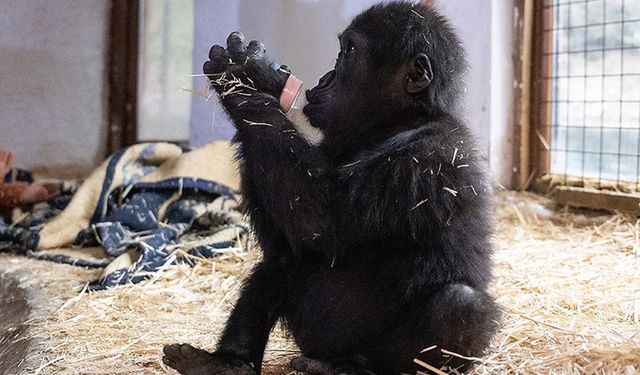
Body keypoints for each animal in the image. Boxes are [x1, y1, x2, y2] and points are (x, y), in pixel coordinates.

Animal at [162, 2, 498, 375]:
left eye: (348, 51)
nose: (325, 76)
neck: (396, 122)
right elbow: (291, 229)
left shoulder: (431, 156)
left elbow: (323, 219)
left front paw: (247, 78)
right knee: (279, 262)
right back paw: (227, 363)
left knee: (463, 307)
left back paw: (349, 367)